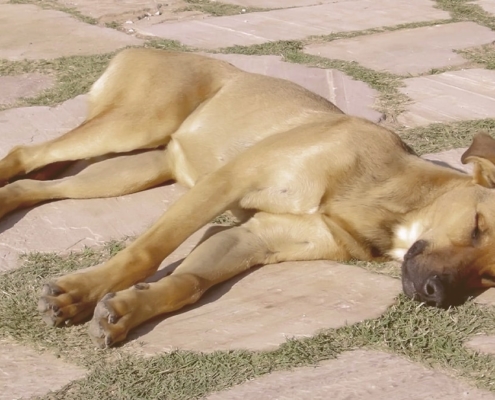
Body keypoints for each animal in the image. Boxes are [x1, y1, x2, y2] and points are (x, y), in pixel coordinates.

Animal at [0, 47, 495, 346]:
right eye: (476, 226)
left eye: (489, 277)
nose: (435, 294)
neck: (393, 200)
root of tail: (143, 49)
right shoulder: (229, 181)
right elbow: (146, 251)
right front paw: (81, 292)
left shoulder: (253, 239)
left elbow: (189, 283)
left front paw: (127, 308)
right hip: (132, 125)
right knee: (26, 152)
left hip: (132, 169)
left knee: (37, 184)